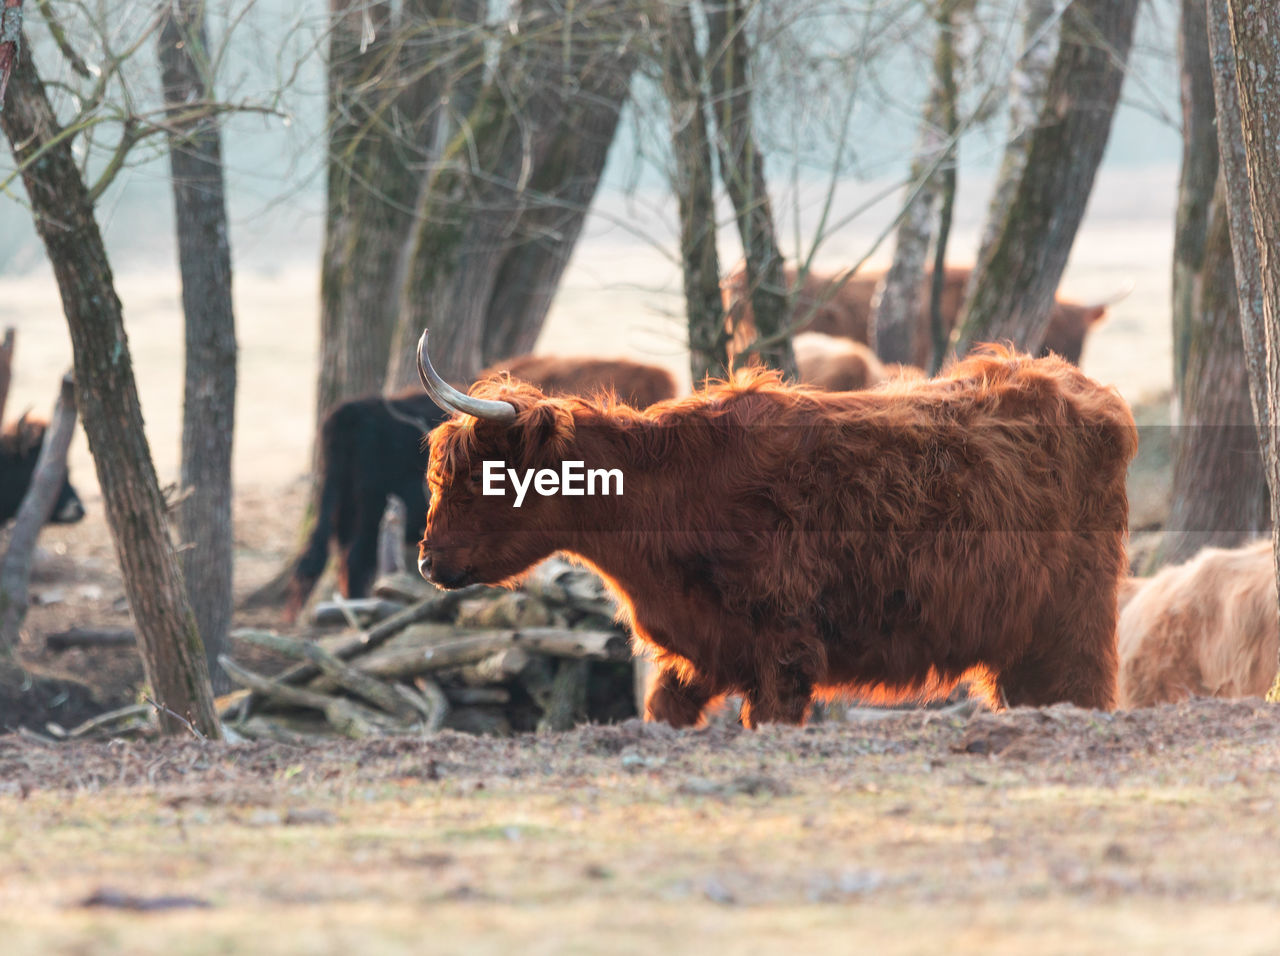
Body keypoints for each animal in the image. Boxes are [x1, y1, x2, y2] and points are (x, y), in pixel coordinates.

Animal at [414, 332, 1136, 726]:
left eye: (481, 476)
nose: (426, 561)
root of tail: (1076, 384)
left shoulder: (785, 655)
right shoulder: (699, 656)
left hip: (1073, 632)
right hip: (1020, 649)